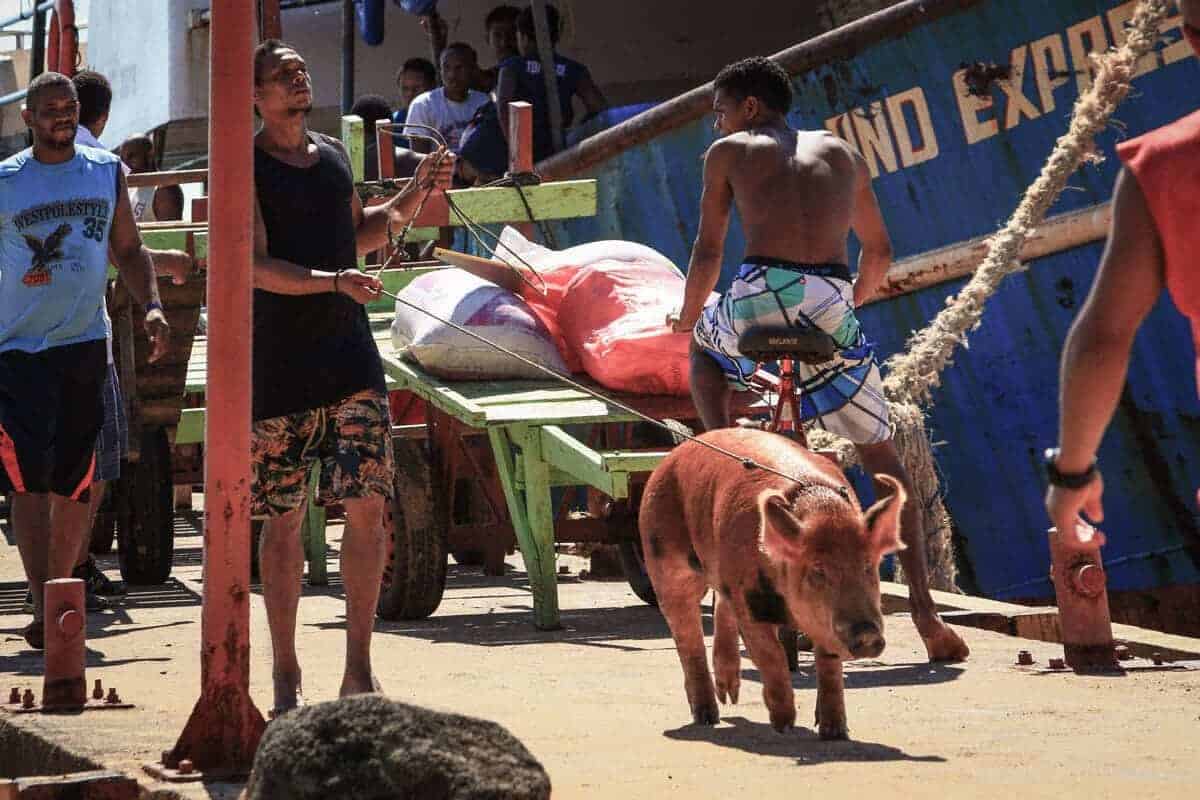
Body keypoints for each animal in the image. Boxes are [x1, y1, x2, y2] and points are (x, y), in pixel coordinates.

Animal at [643, 429, 902, 743]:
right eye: (818, 571)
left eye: (867, 566)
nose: (867, 634)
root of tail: (670, 458)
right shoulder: (747, 600)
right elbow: (771, 656)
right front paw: (784, 725)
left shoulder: (821, 622)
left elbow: (828, 662)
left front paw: (835, 732)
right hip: (664, 558)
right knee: (687, 637)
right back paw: (708, 717)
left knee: (720, 608)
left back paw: (729, 697)